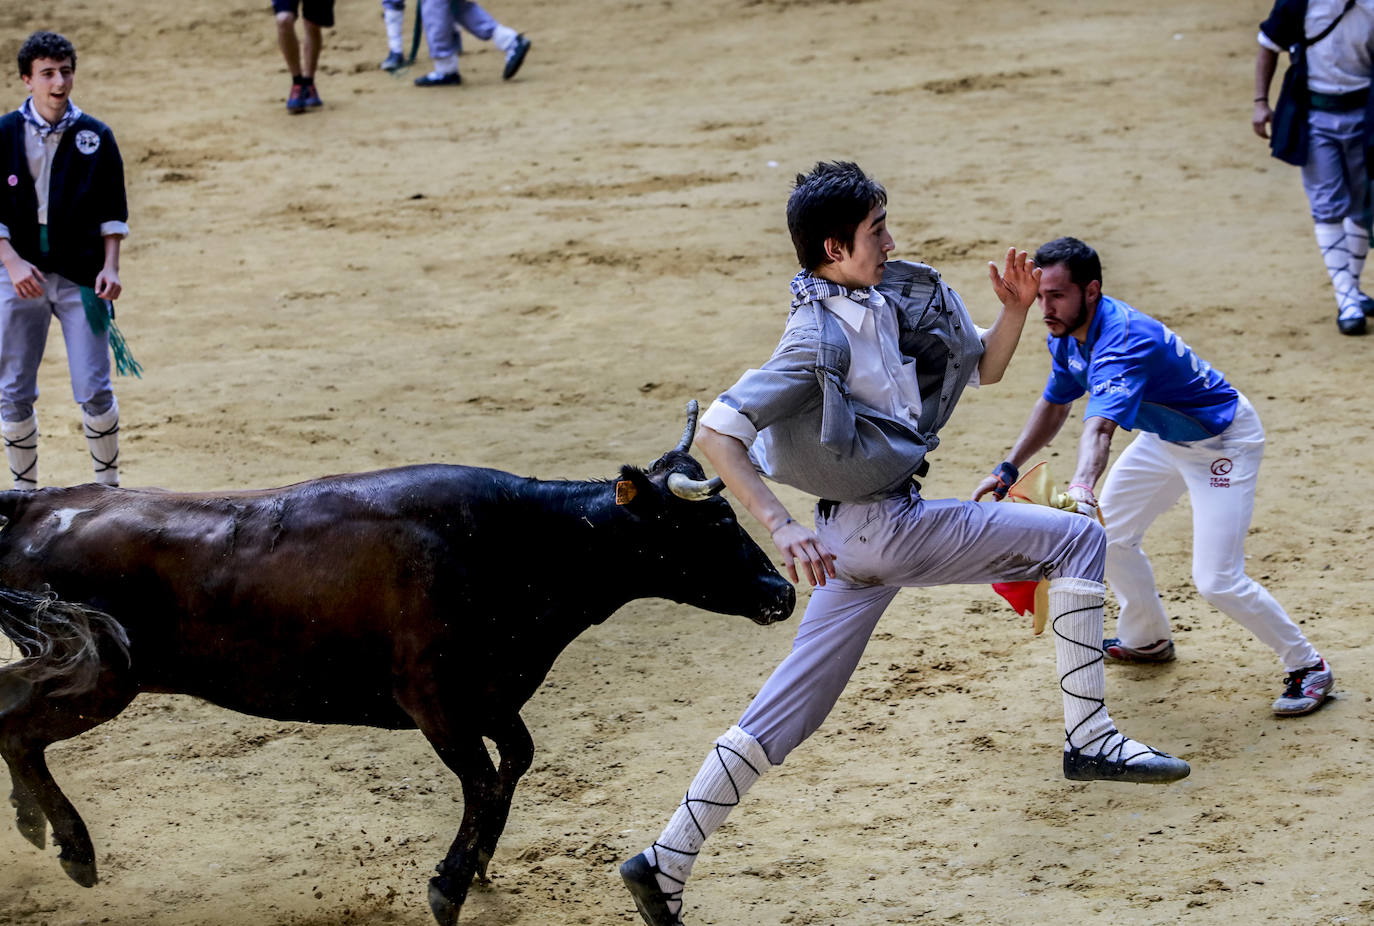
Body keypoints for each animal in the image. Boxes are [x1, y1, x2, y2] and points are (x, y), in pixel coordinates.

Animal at [0, 406, 796, 923]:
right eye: (713, 522)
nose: (783, 592)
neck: (518, 544)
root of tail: (38, 503)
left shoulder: (490, 694)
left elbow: (515, 761)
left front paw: (478, 865)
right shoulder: (435, 702)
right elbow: (482, 778)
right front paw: (448, 885)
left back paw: (34, 827)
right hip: (102, 679)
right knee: (18, 730)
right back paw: (72, 848)